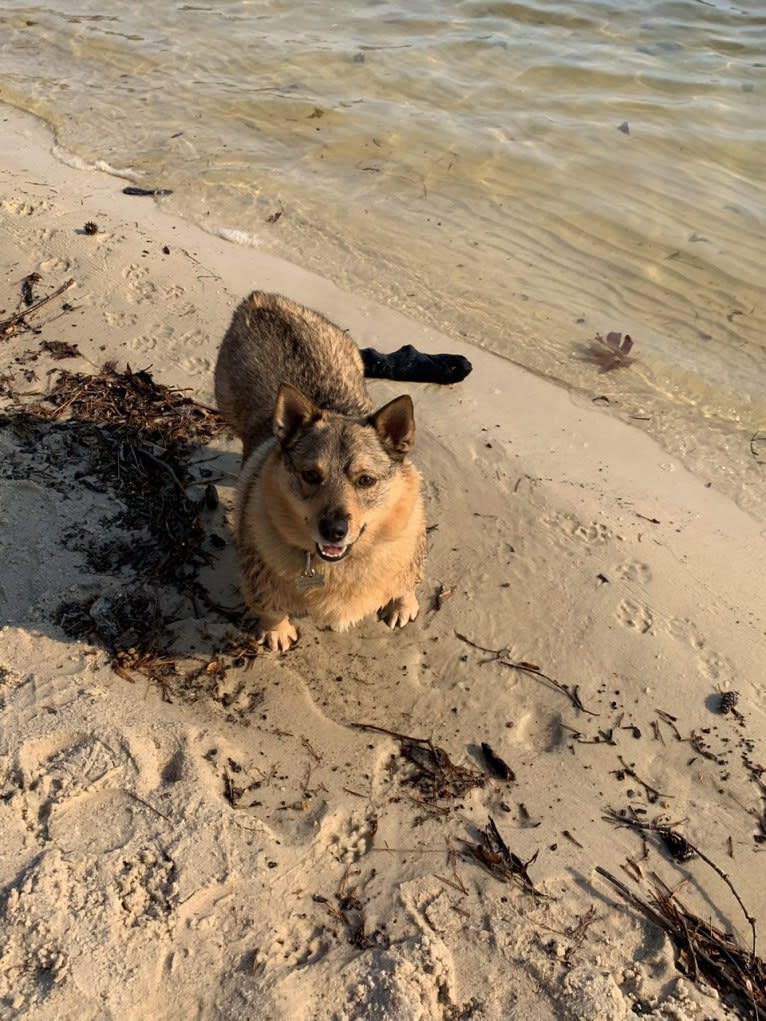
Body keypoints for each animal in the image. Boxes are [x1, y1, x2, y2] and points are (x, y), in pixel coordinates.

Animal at [213, 292, 471, 649]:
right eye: (310, 475)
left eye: (366, 480)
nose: (333, 531)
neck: (345, 563)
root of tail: (262, 299)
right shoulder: (259, 579)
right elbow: (270, 608)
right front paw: (276, 631)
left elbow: (406, 582)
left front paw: (402, 604)